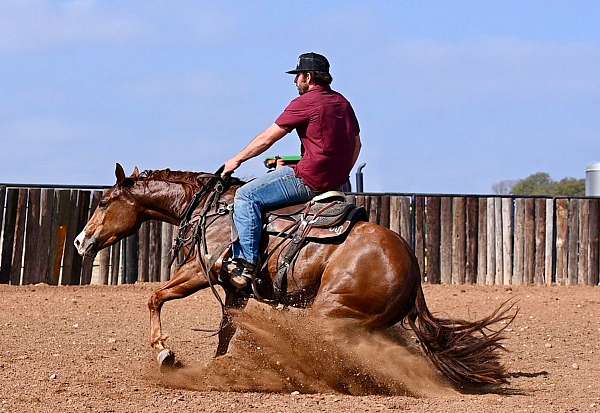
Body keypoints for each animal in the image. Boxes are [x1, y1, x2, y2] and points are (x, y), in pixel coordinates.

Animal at [76, 163, 516, 386]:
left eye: (105, 201)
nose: (81, 241)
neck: (210, 210)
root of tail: (411, 269)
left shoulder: (200, 272)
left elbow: (154, 297)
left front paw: (165, 354)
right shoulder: (236, 290)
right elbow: (226, 330)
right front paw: (217, 368)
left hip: (330, 313)